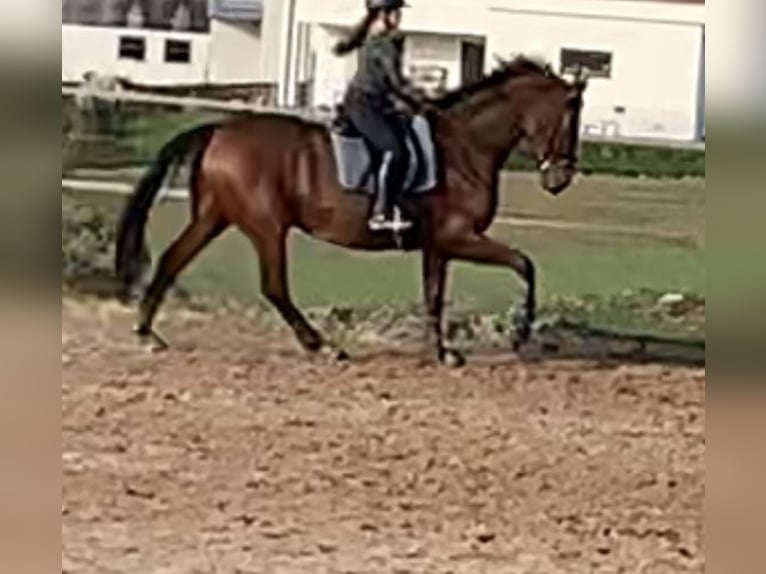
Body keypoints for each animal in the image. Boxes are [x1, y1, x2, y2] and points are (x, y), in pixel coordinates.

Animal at [117, 55, 592, 368]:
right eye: (570, 118)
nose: (560, 178)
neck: (464, 147)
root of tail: (221, 128)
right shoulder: (459, 236)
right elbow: (524, 264)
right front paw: (520, 332)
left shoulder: (438, 245)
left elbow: (434, 295)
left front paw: (440, 352)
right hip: (266, 224)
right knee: (274, 286)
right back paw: (324, 346)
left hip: (216, 216)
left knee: (173, 259)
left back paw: (147, 335)